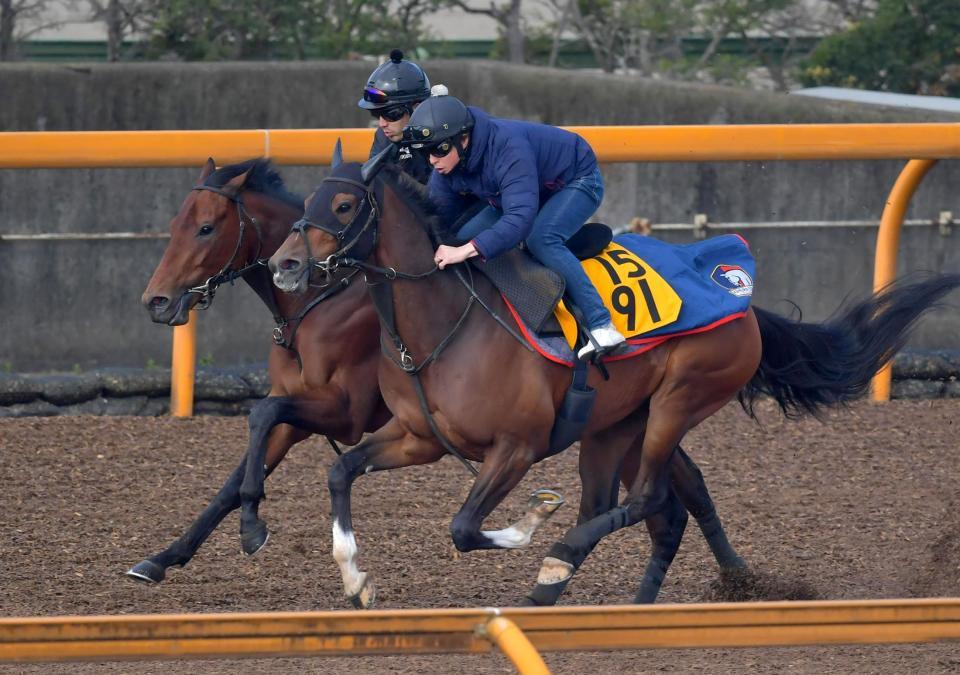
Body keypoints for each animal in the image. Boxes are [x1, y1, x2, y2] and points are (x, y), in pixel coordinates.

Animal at [128, 160, 390, 588]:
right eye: (174, 224)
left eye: (206, 228)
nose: (155, 301)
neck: (321, 299)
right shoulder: (294, 410)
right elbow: (237, 475)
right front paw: (163, 557)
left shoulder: (348, 413)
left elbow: (261, 414)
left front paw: (251, 525)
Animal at [266, 156, 960, 608]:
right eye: (305, 203)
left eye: (344, 204)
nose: (285, 265)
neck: (445, 323)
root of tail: (738, 289)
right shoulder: (419, 439)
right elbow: (340, 470)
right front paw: (355, 579)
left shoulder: (516, 447)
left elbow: (464, 527)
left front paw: (530, 525)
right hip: (614, 424)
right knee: (644, 504)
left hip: (679, 400)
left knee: (648, 499)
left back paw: (557, 565)